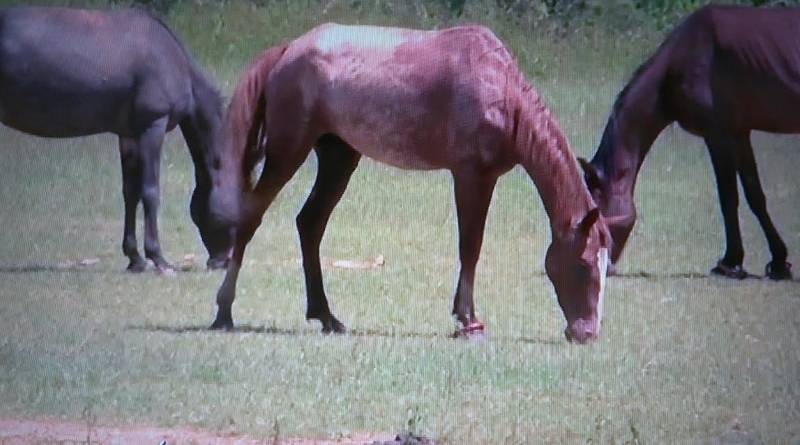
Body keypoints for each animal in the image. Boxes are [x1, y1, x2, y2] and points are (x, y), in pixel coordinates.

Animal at [0, 6, 231, 270]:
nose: (221, 261)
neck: (174, 60)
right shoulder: (153, 126)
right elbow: (150, 191)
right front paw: (158, 258)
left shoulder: (129, 135)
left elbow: (130, 193)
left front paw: (135, 258)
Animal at [208, 23, 612, 344]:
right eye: (584, 265)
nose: (587, 333)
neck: (499, 89)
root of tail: (288, 49)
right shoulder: (471, 176)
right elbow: (470, 247)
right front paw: (469, 321)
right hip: (286, 154)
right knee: (251, 219)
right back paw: (224, 314)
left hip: (339, 158)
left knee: (310, 224)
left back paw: (326, 316)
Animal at [580, 5, 796, 280]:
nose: (598, 265)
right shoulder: (739, 133)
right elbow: (755, 195)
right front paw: (778, 261)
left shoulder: (718, 136)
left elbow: (729, 198)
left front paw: (730, 263)